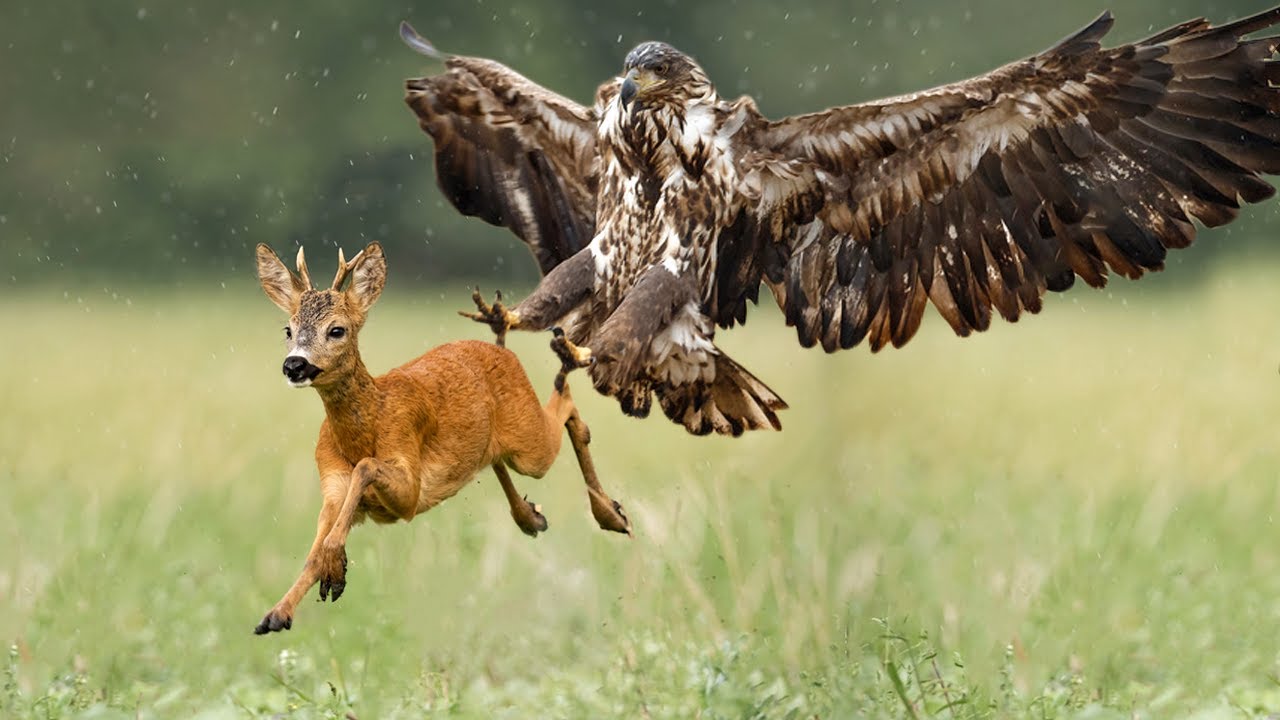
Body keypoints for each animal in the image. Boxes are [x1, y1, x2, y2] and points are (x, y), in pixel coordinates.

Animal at [252, 241, 631, 635]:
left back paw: (610, 511)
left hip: (530, 443)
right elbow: (313, 553)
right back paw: (531, 516)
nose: (294, 365)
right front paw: (278, 613)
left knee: (567, 411)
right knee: (498, 458)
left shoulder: (409, 486)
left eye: (337, 330)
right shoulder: (332, 489)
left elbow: (367, 469)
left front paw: (332, 570)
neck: (368, 425)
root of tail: (503, 351)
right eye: (288, 329)